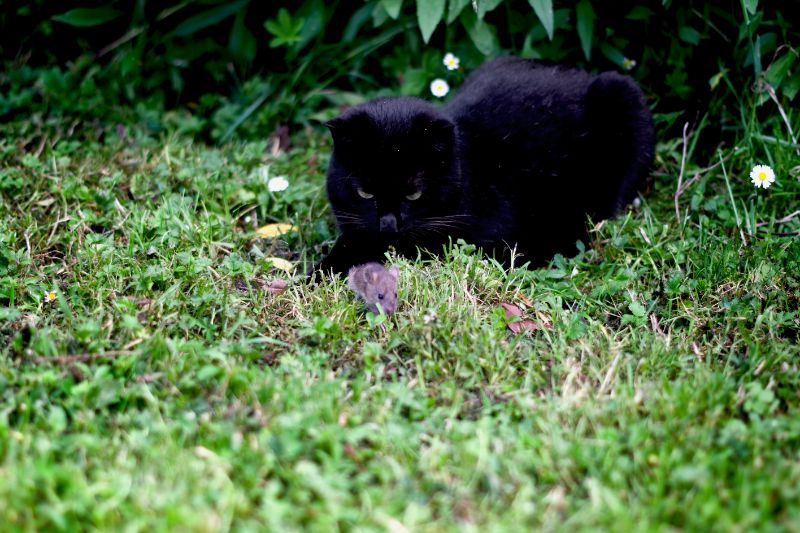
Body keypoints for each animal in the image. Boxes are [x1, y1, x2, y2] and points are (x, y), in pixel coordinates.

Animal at [312, 56, 648, 276]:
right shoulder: (357, 229)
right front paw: (318, 275)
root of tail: (582, 73)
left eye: (414, 195)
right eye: (365, 194)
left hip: (621, 92)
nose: (388, 225)